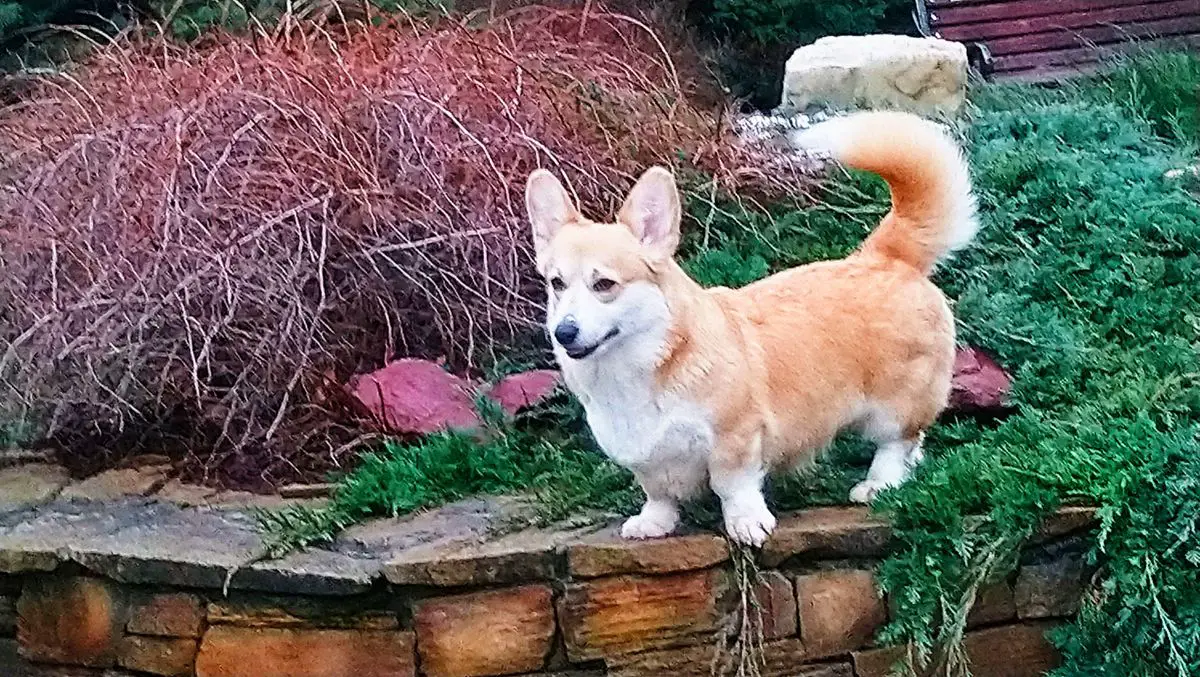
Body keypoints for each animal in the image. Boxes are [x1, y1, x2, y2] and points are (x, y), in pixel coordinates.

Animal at [525, 109, 974, 544]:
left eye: (604, 284)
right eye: (556, 283)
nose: (564, 333)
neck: (639, 365)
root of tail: (886, 256)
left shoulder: (735, 439)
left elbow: (732, 485)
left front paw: (746, 522)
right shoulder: (647, 460)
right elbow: (658, 493)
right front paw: (653, 522)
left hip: (893, 406)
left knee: (898, 442)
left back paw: (879, 483)